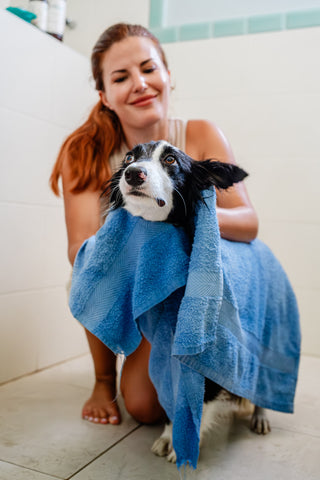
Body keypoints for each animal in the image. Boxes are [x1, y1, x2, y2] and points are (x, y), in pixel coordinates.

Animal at [102, 141, 270, 464]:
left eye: (170, 159)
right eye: (129, 156)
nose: (132, 173)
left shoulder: (208, 349)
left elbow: (200, 399)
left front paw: (183, 444)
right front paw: (169, 437)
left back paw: (260, 416)